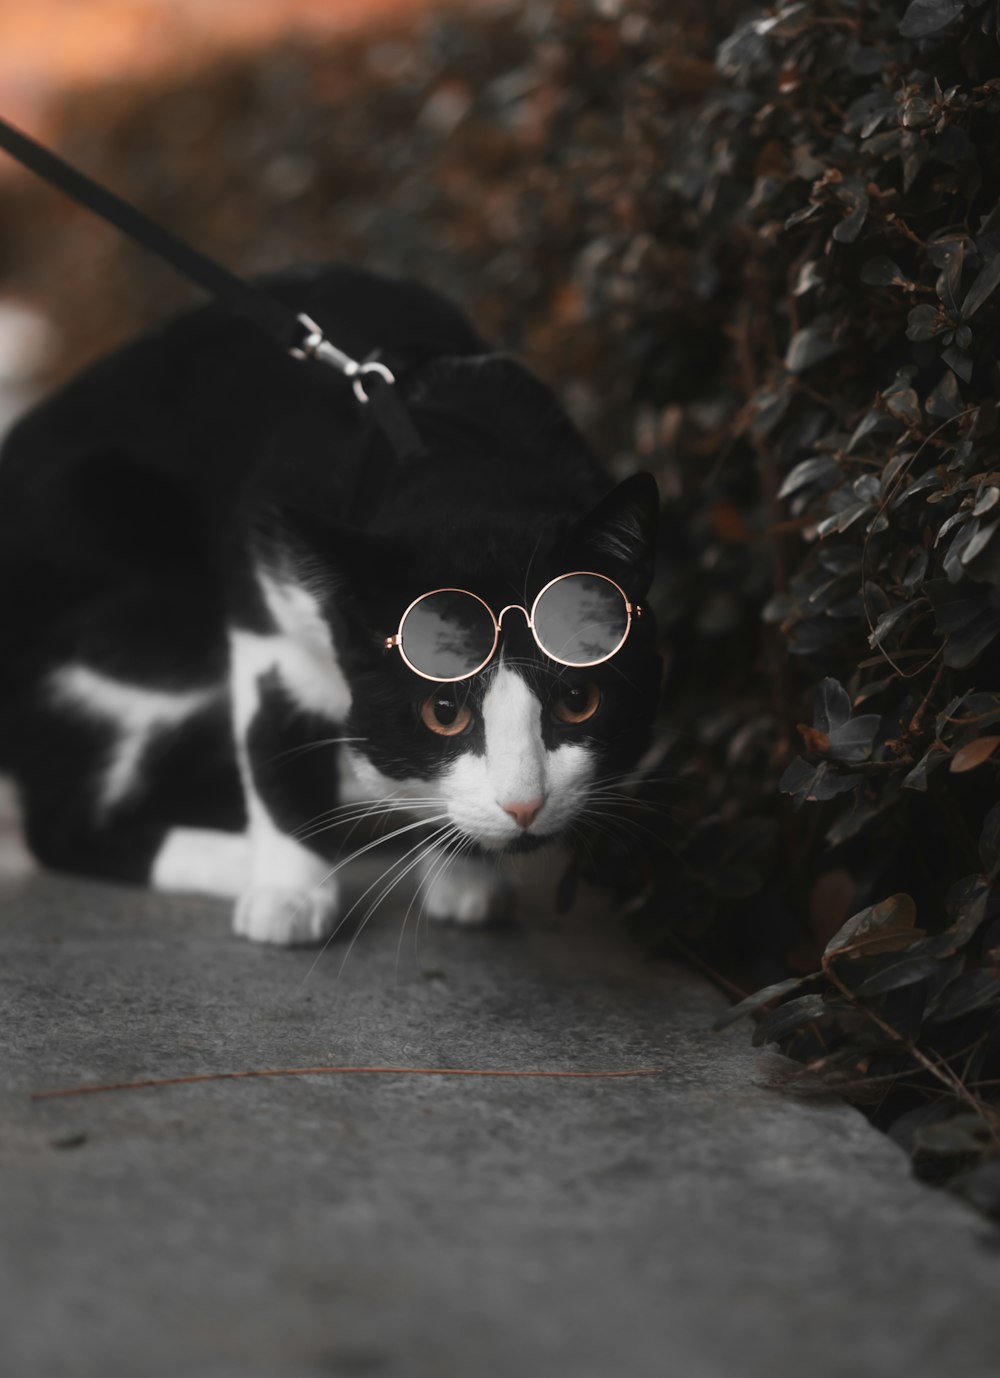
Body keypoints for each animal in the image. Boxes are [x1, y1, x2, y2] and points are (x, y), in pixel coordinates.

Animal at [0, 263, 661, 942]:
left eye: (578, 700)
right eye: (443, 711)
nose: (524, 806)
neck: (455, 459)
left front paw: (463, 869)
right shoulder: (267, 602)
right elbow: (278, 749)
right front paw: (288, 893)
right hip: (144, 601)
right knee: (61, 828)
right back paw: (243, 858)